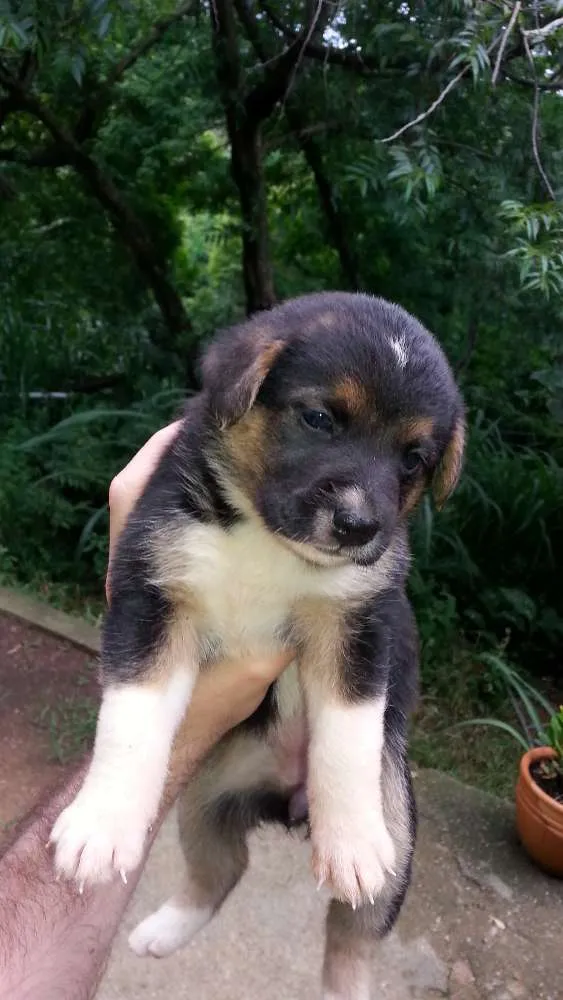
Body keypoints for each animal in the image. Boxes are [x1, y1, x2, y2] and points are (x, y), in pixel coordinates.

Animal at [50, 292, 464, 998]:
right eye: (320, 417)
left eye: (413, 457)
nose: (359, 526)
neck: (268, 542)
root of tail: (286, 799)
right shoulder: (153, 595)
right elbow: (131, 720)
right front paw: (102, 825)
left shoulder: (359, 624)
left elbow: (348, 734)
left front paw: (350, 839)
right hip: (202, 801)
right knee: (223, 871)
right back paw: (162, 932)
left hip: (398, 834)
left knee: (353, 937)